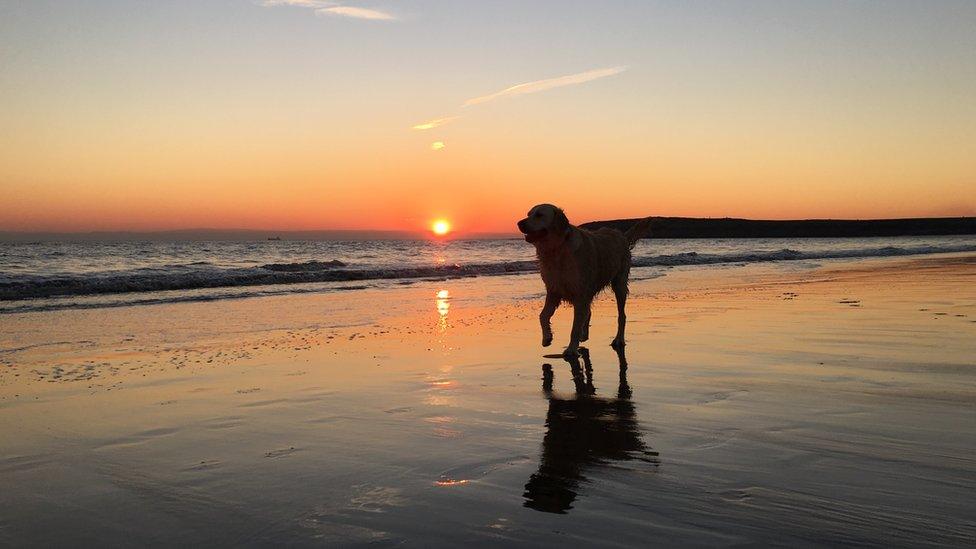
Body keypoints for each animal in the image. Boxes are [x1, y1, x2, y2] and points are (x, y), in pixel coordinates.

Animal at [520, 204, 648, 356]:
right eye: (528, 214)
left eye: (539, 215)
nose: (519, 223)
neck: (557, 250)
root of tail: (621, 235)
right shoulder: (554, 290)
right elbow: (543, 315)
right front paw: (547, 338)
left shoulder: (580, 293)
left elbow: (574, 327)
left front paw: (570, 349)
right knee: (589, 312)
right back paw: (584, 335)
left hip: (619, 284)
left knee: (621, 316)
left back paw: (619, 339)